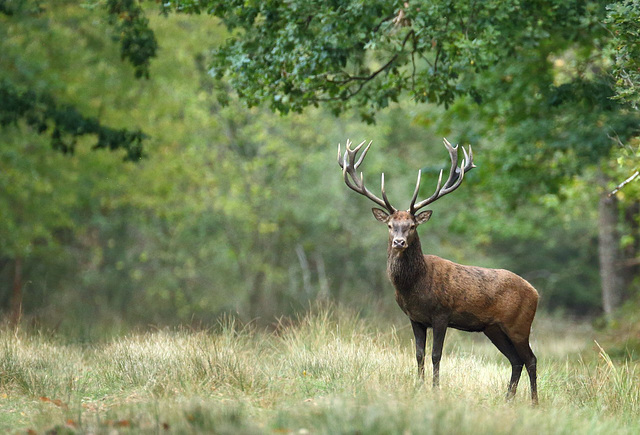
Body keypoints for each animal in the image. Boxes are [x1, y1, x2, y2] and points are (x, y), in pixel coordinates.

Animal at [338, 139, 536, 406]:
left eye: (412, 226)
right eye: (390, 225)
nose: (399, 242)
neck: (414, 287)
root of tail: (536, 293)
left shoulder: (442, 314)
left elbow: (436, 355)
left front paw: (435, 390)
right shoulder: (415, 318)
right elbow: (419, 354)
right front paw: (418, 387)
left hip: (519, 324)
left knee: (530, 359)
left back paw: (535, 402)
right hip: (493, 328)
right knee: (516, 360)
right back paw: (508, 400)